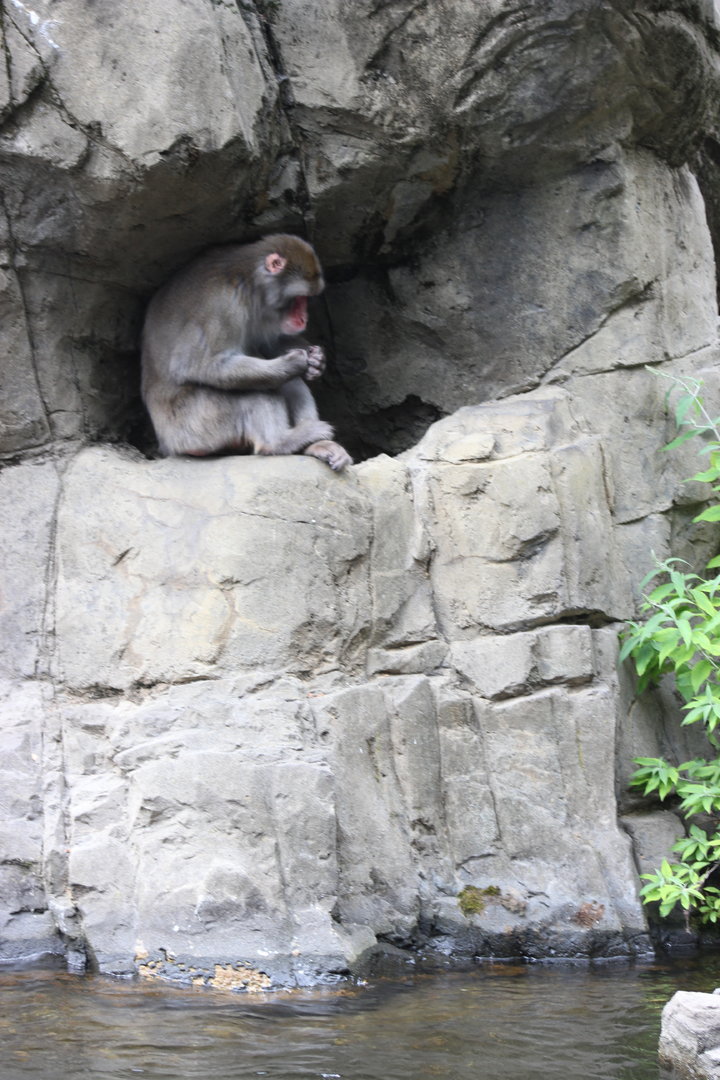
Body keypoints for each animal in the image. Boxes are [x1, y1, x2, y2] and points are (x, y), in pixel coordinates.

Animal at [140, 234, 352, 471]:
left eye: (306, 299)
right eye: (299, 299)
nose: (303, 318)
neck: (250, 284)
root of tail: (166, 444)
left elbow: (269, 343)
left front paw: (317, 359)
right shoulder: (223, 303)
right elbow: (194, 364)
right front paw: (293, 363)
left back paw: (314, 445)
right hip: (194, 426)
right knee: (256, 388)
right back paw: (278, 442)